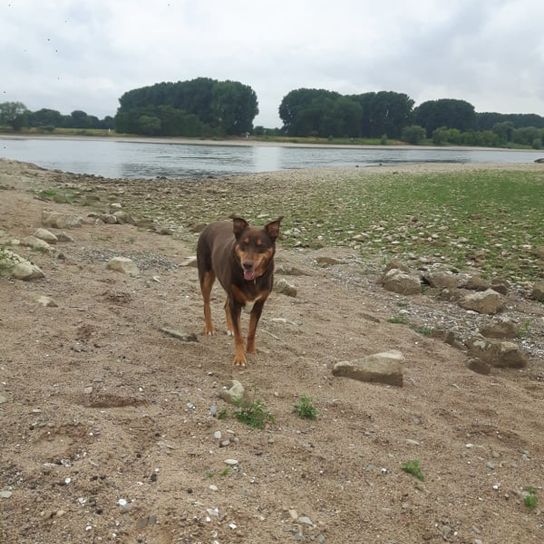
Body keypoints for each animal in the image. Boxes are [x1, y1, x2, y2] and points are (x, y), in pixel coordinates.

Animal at [196, 217, 282, 366]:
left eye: (260, 246)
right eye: (244, 244)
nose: (247, 265)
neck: (253, 280)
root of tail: (211, 224)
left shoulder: (258, 305)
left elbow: (251, 332)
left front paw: (251, 351)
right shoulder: (236, 303)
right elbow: (239, 336)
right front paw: (240, 358)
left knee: (226, 306)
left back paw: (230, 328)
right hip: (206, 275)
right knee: (207, 304)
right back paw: (210, 328)